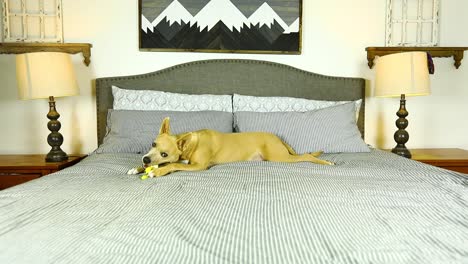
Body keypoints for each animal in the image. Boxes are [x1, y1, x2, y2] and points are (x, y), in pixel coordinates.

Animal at [126, 117, 334, 177]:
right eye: (153, 144)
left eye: (164, 153)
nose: (145, 159)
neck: (190, 144)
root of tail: (277, 138)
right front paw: (137, 168)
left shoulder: (199, 166)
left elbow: (173, 164)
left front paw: (157, 171)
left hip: (281, 157)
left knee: (307, 155)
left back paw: (326, 162)